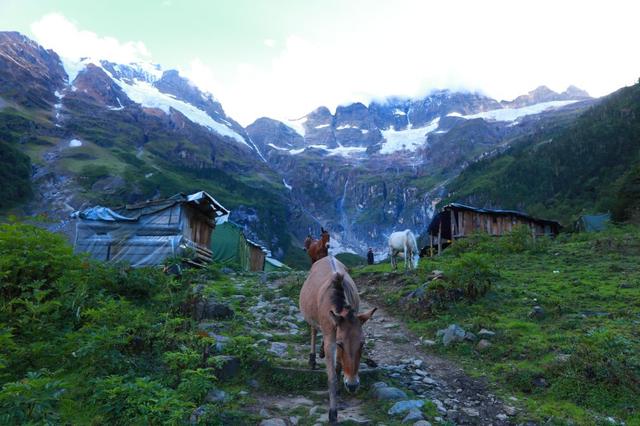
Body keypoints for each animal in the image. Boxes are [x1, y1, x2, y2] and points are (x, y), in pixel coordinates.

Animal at [298, 255, 376, 424]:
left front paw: (340, 390)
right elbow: (332, 376)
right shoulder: (331, 340)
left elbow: (339, 368)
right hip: (312, 318)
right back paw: (313, 359)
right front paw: (333, 413)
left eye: (362, 344)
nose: (352, 385)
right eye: (340, 344)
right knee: (313, 330)